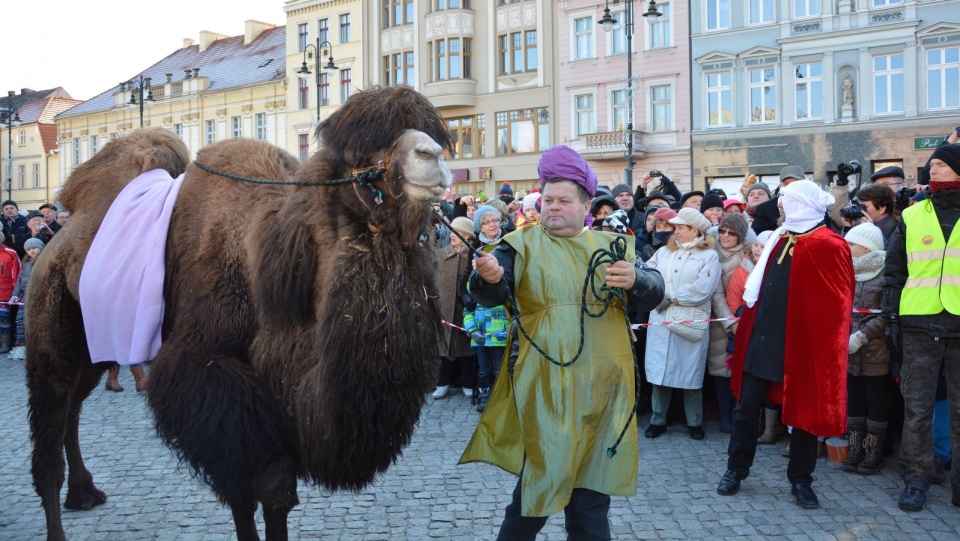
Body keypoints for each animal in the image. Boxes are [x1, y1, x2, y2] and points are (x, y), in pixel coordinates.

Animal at [26, 86, 454, 536]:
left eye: (429, 131)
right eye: (361, 150)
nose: (431, 156)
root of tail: (56, 243)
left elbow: (269, 493)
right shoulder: (207, 372)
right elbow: (258, 484)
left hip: (96, 341)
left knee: (72, 408)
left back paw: (84, 492)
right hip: (48, 324)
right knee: (52, 419)